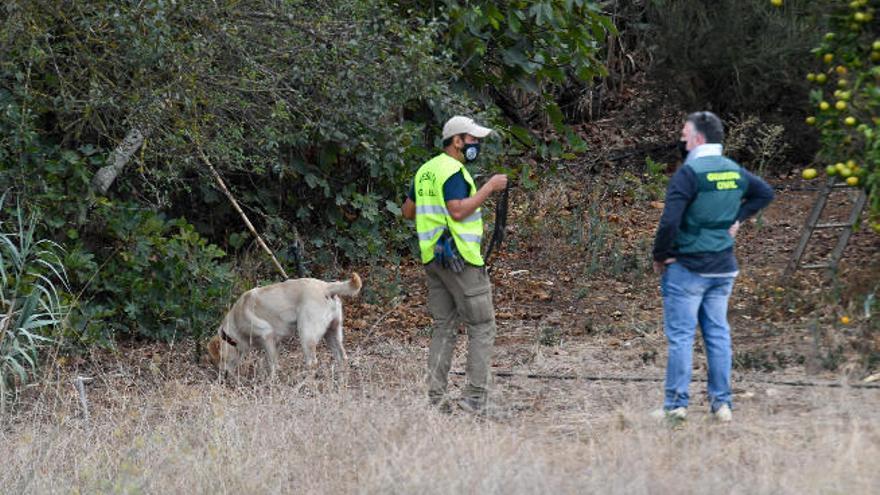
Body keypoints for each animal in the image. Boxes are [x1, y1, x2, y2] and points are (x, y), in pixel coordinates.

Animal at [206, 274, 360, 378]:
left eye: (218, 359)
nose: (222, 377)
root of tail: (326, 287)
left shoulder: (266, 335)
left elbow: (272, 363)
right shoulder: (276, 342)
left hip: (306, 335)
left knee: (312, 362)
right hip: (332, 334)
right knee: (342, 357)